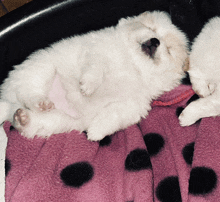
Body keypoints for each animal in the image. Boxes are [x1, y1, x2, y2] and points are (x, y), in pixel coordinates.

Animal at [0, 11, 189, 140]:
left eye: (169, 50)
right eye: (151, 28)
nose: (155, 41)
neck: (132, 63)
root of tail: (9, 103)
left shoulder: (136, 103)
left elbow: (116, 114)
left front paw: (95, 132)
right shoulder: (97, 51)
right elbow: (96, 69)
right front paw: (87, 87)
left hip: (56, 121)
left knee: (29, 121)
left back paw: (23, 118)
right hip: (42, 68)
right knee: (28, 91)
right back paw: (41, 102)